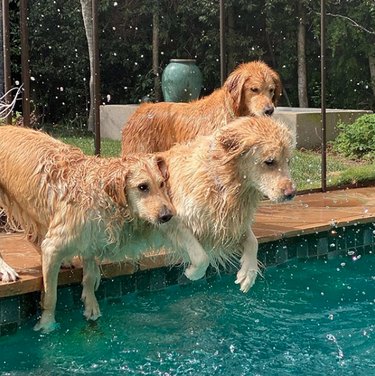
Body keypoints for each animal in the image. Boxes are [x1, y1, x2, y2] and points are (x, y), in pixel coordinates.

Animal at [0, 126, 176, 332]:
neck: (102, 196)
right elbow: (51, 295)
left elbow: (90, 276)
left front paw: (91, 305)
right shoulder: (54, 245)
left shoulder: (92, 238)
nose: (168, 215)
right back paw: (6, 269)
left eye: (162, 184)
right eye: (142, 187)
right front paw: (47, 324)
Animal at [156, 116, 296, 292]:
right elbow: (201, 256)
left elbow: (253, 241)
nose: (292, 193)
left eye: (288, 161)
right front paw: (193, 273)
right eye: (269, 161)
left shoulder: (233, 223)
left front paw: (248, 273)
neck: (223, 184)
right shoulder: (171, 219)